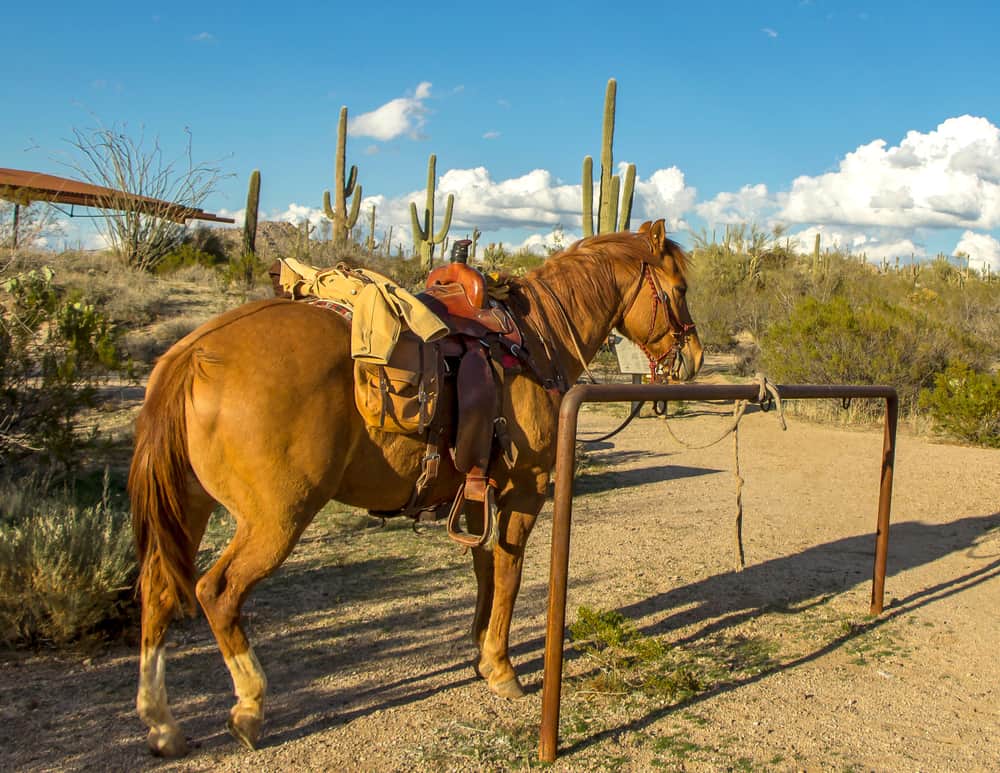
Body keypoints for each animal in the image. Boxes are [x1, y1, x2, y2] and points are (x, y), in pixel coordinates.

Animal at [129, 218, 703, 757]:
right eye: (678, 289)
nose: (694, 356)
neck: (537, 339)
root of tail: (193, 352)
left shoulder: (479, 493)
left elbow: (484, 570)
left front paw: (481, 653)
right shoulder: (525, 491)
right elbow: (509, 573)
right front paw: (502, 668)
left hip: (190, 506)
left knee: (156, 590)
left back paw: (163, 726)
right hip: (277, 517)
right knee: (216, 592)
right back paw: (249, 706)